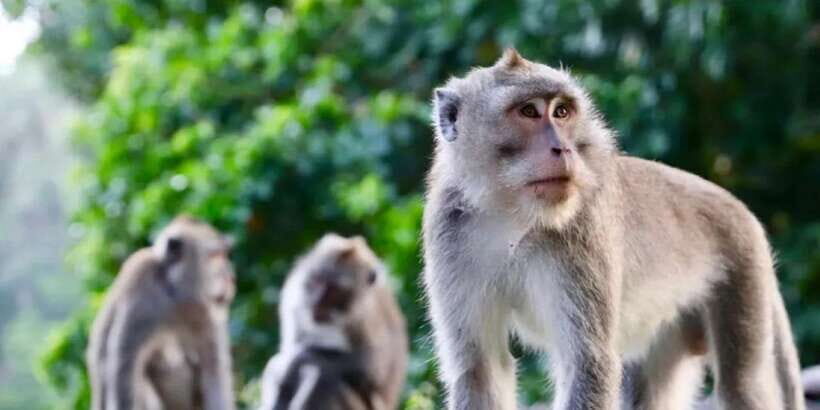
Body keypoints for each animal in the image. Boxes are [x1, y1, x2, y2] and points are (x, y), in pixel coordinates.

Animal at [86, 215, 236, 410]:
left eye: (223, 255)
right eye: (215, 256)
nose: (231, 278)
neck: (174, 294)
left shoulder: (206, 313)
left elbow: (213, 367)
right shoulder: (141, 285)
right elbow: (125, 364)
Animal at [259, 233, 407, 410]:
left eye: (335, 291)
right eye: (317, 281)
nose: (317, 303)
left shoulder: (365, 316)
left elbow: (371, 369)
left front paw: (300, 360)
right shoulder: (293, 300)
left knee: (329, 376)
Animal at [422, 49, 804, 410]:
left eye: (561, 112)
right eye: (528, 111)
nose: (563, 148)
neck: (511, 215)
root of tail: (738, 207)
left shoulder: (582, 229)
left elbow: (588, 363)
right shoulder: (447, 234)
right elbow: (480, 369)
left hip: (742, 270)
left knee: (741, 386)